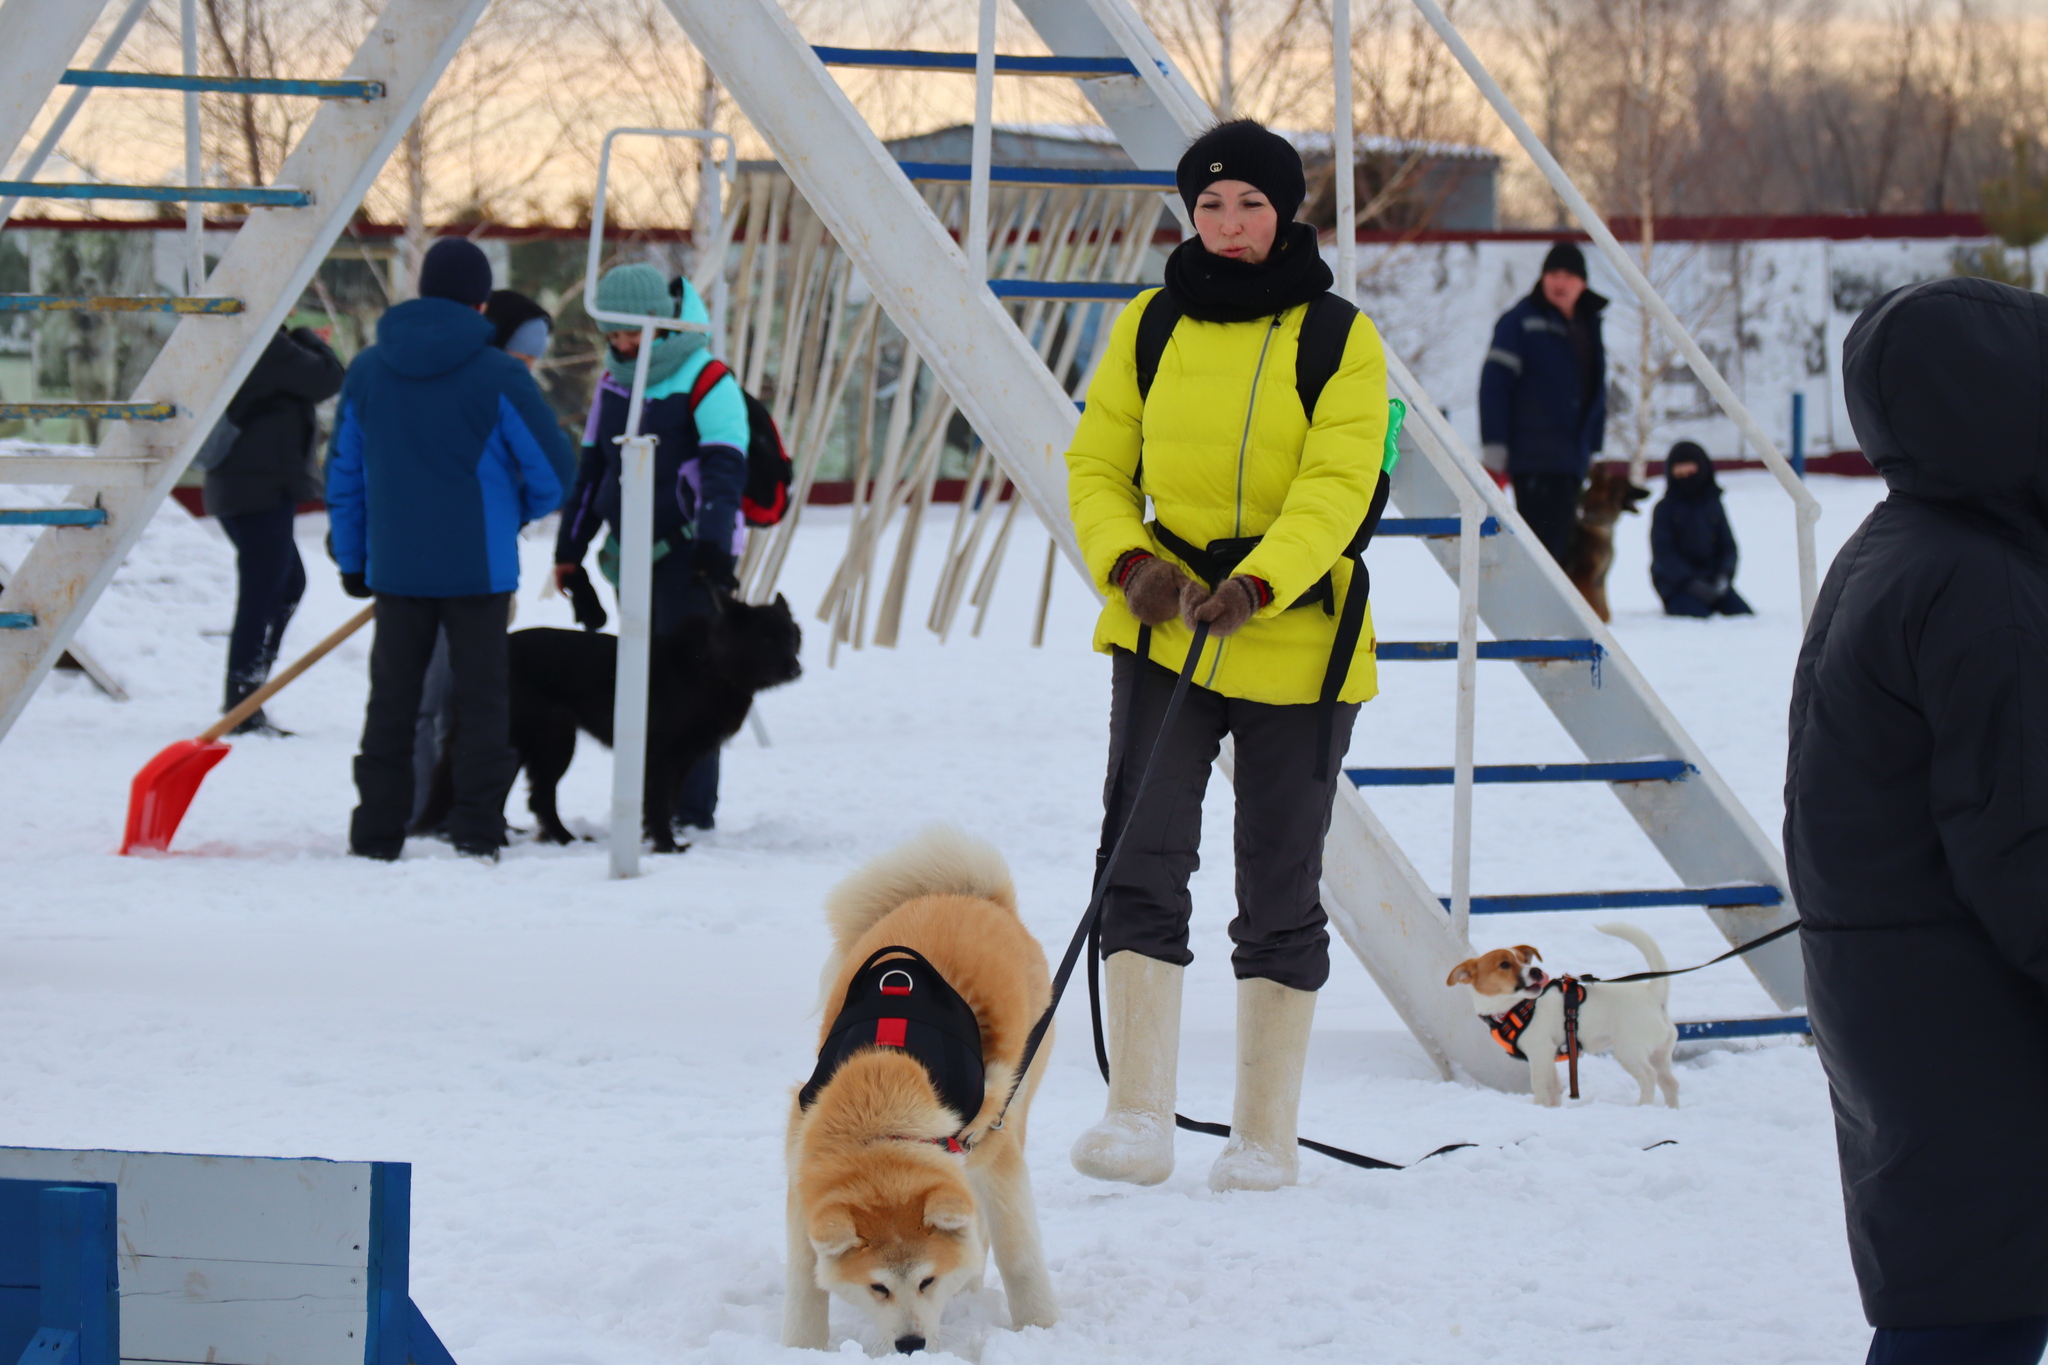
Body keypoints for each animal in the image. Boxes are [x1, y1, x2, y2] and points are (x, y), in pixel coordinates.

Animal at [415, 597, 798, 855]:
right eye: (766, 639)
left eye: (792, 637)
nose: (796, 669)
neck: (710, 665)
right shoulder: (663, 757)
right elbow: (659, 804)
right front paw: (666, 846)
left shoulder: (682, 760)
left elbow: (666, 803)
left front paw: (654, 840)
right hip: (535, 742)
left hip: (551, 745)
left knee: (538, 799)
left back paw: (562, 840)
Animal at [786, 826, 1064, 1350]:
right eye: (877, 1287)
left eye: (927, 1280)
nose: (910, 1346)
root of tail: (968, 895)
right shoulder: (802, 1167)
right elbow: (804, 1280)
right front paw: (802, 1348)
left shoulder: (994, 1151)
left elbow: (1018, 1257)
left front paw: (1042, 1330)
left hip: (1014, 1103)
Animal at [1564, 464, 1646, 626]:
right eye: (1627, 484)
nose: (1648, 491)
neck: (1599, 524)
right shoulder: (1584, 576)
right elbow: (1594, 606)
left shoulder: (1600, 578)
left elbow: (1604, 611)